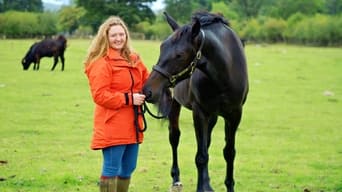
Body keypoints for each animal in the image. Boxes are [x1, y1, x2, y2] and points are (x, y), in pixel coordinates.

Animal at [142, 11, 248, 191]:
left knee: (207, 143)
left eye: (179, 55)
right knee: (174, 137)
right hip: (175, 105)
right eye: (162, 47)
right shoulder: (200, 113)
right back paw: (176, 179)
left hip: (213, 116)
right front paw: (201, 187)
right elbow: (201, 156)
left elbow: (228, 152)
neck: (224, 74)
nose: (148, 91)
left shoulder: (234, 115)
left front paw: (227, 186)